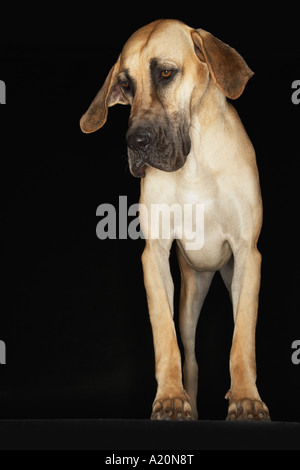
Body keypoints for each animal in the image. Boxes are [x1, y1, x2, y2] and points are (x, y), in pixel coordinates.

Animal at [79, 19, 270, 422]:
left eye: (165, 73)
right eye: (125, 85)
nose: (135, 142)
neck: (195, 163)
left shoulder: (248, 253)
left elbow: (242, 339)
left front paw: (247, 399)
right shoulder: (154, 256)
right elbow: (165, 338)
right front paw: (169, 398)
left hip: (231, 277)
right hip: (190, 294)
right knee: (191, 357)